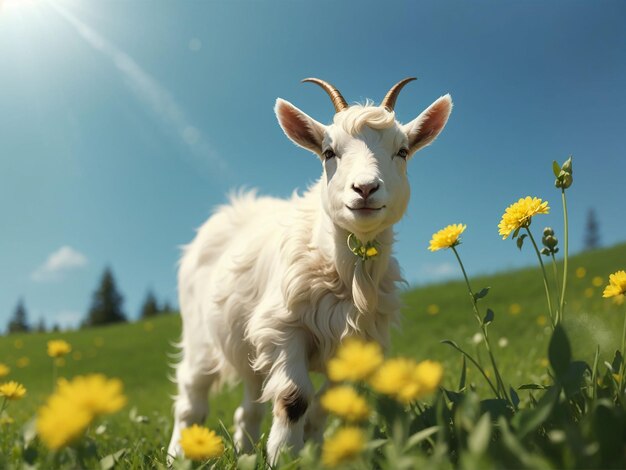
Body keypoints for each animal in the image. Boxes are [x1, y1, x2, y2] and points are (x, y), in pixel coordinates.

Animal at [166, 78, 448, 462]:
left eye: (402, 151)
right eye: (328, 153)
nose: (365, 189)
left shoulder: (354, 342)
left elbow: (324, 406)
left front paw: (316, 453)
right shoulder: (284, 327)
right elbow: (294, 398)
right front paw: (284, 456)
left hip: (249, 341)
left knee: (249, 405)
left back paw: (245, 452)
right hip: (200, 334)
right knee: (191, 399)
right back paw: (176, 455)